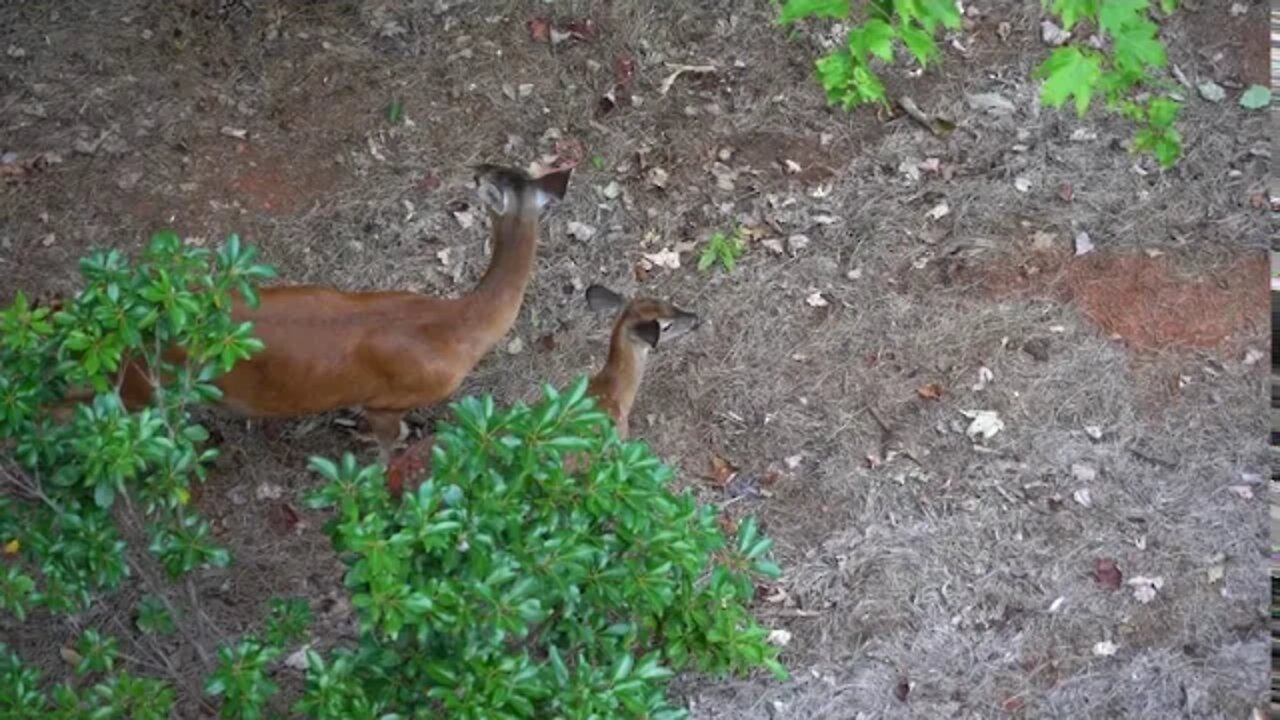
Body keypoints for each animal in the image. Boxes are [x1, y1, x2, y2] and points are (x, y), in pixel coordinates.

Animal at [52, 163, 572, 463]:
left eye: (503, 170)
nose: (475, 169)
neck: (459, 328)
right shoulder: (385, 400)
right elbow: (390, 445)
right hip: (141, 387)